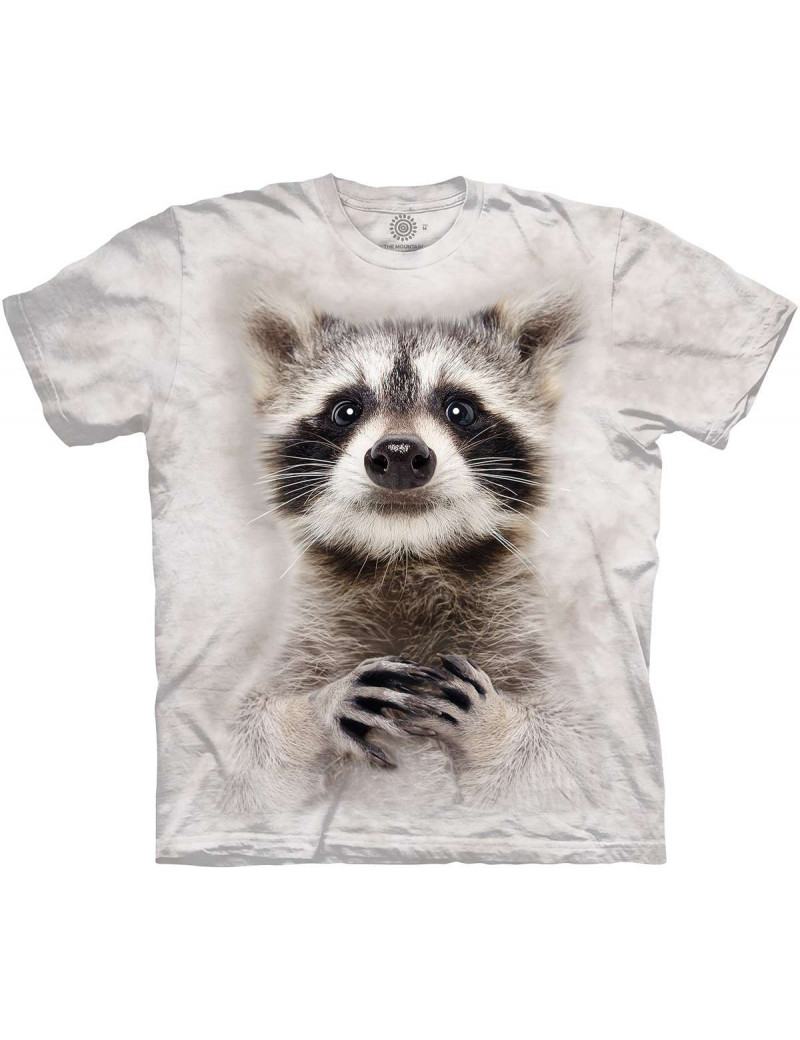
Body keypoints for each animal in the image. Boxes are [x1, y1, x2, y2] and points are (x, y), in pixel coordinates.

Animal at [228, 292, 596, 813]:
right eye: (345, 411)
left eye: (460, 409)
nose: (400, 455)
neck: (407, 556)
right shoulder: (300, 652)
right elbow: (244, 748)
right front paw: (312, 712)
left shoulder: (533, 656)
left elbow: (575, 759)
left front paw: (497, 726)